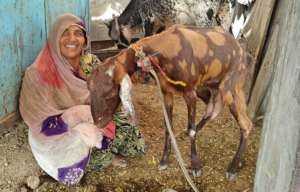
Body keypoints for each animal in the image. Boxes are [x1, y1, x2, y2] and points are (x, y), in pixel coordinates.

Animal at [87, 24, 253, 179]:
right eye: (90, 89)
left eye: (110, 94)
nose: (99, 124)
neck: (164, 51)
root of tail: (242, 50)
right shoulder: (167, 92)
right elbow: (169, 127)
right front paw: (164, 160)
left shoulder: (190, 93)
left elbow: (192, 130)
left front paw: (195, 166)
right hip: (208, 87)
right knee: (212, 108)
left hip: (230, 88)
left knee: (246, 124)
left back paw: (233, 167)